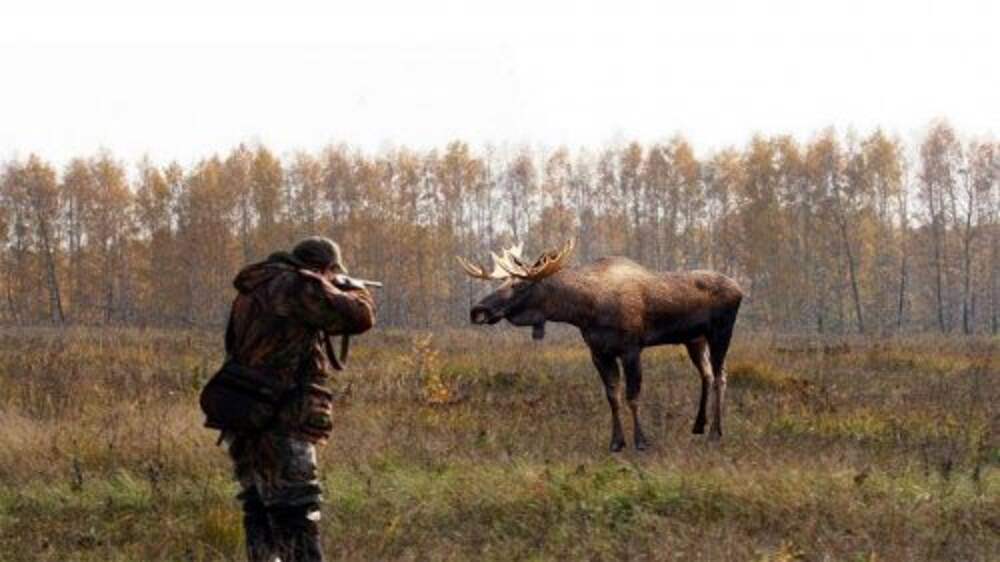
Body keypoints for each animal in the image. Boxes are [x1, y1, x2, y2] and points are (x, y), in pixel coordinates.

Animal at [460, 238, 744, 448]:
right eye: (503, 282)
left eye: (519, 285)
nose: (477, 310)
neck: (585, 311)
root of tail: (740, 289)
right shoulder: (598, 352)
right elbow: (612, 396)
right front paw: (616, 442)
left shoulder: (631, 348)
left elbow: (632, 396)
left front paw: (641, 441)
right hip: (694, 339)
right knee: (707, 374)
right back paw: (698, 426)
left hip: (721, 332)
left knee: (720, 376)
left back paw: (716, 432)